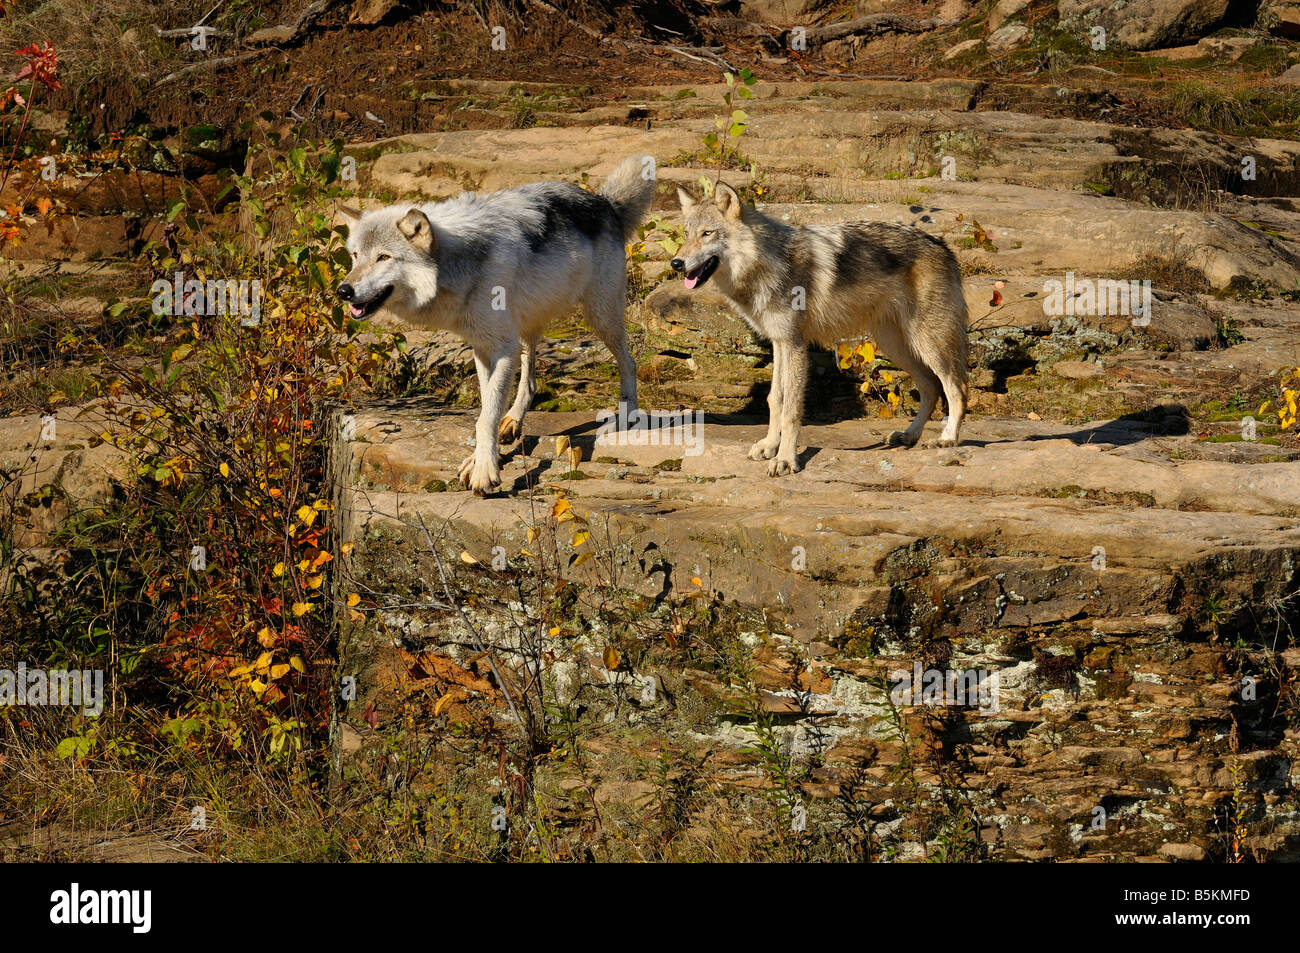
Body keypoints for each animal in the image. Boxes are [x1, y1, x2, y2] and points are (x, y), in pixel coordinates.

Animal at [337, 154, 657, 494]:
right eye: (355, 256)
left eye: (383, 257)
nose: (343, 291)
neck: (459, 263)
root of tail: (605, 202)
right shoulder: (483, 347)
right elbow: (488, 407)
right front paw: (479, 459)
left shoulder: (502, 347)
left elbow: (485, 417)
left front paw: (484, 471)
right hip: (527, 326)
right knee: (530, 380)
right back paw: (514, 420)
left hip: (599, 316)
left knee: (629, 362)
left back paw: (628, 414)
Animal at [672, 183, 968, 475]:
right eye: (686, 234)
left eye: (707, 233)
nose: (676, 263)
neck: (767, 264)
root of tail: (943, 246)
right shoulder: (780, 342)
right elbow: (775, 399)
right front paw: (769, 446)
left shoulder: (795, 344)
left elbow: (791, 409)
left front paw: (785, 459)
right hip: (895, 346)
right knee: (931, 387)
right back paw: (910, 435)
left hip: (927, 343)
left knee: (956, 388)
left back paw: (947, 438)